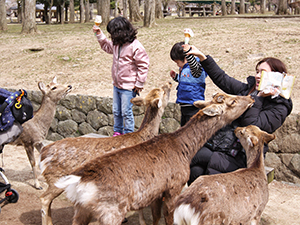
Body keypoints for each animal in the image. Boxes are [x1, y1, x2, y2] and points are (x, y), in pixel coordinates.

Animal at [38, 82, 172, 225]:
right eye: (163, 91)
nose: (169, 83)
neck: (142, 138)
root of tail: (43, 154)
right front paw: (142, 222)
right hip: (56, 178)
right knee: (44, 199)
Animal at [54, 92, 255, 225]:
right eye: (233, 100)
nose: (251, 98)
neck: (185, 150)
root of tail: (78, 182)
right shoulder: (174, 186)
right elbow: (169, 219)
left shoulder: (157, 192)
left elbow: (156, 218)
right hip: (110, 212)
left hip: (81, 211)